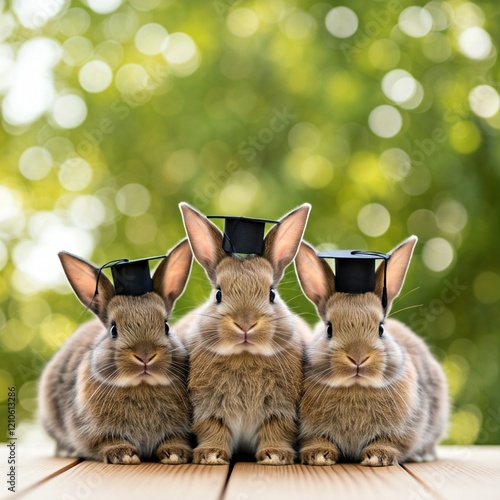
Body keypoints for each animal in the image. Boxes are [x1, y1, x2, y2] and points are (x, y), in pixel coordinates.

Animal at [39, 238, 193, 464]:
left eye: (166, 326)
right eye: (113, 329)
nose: (145, 355)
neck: (141, 386)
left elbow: (175, 439)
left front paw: (175, 454)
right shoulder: (91, 433)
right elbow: (107, 442)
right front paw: (123, 455)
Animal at [174, 202, 310, 464]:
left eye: (271, 294)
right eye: (218, 294)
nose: (245, 324)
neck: (245, 355)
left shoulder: (280, 410)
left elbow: (276, 430)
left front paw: (275, 456)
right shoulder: (208, 409)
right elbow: (213, 428)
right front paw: (211, 455)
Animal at [294, 236, 448, 466]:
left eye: (381, 328)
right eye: (329, 329)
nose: (358, 358)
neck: (355, 386)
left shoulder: (401, 432)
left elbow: (389, 443)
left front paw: (378, 457)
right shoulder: (310, 431)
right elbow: (317, 440)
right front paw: (318, 456)